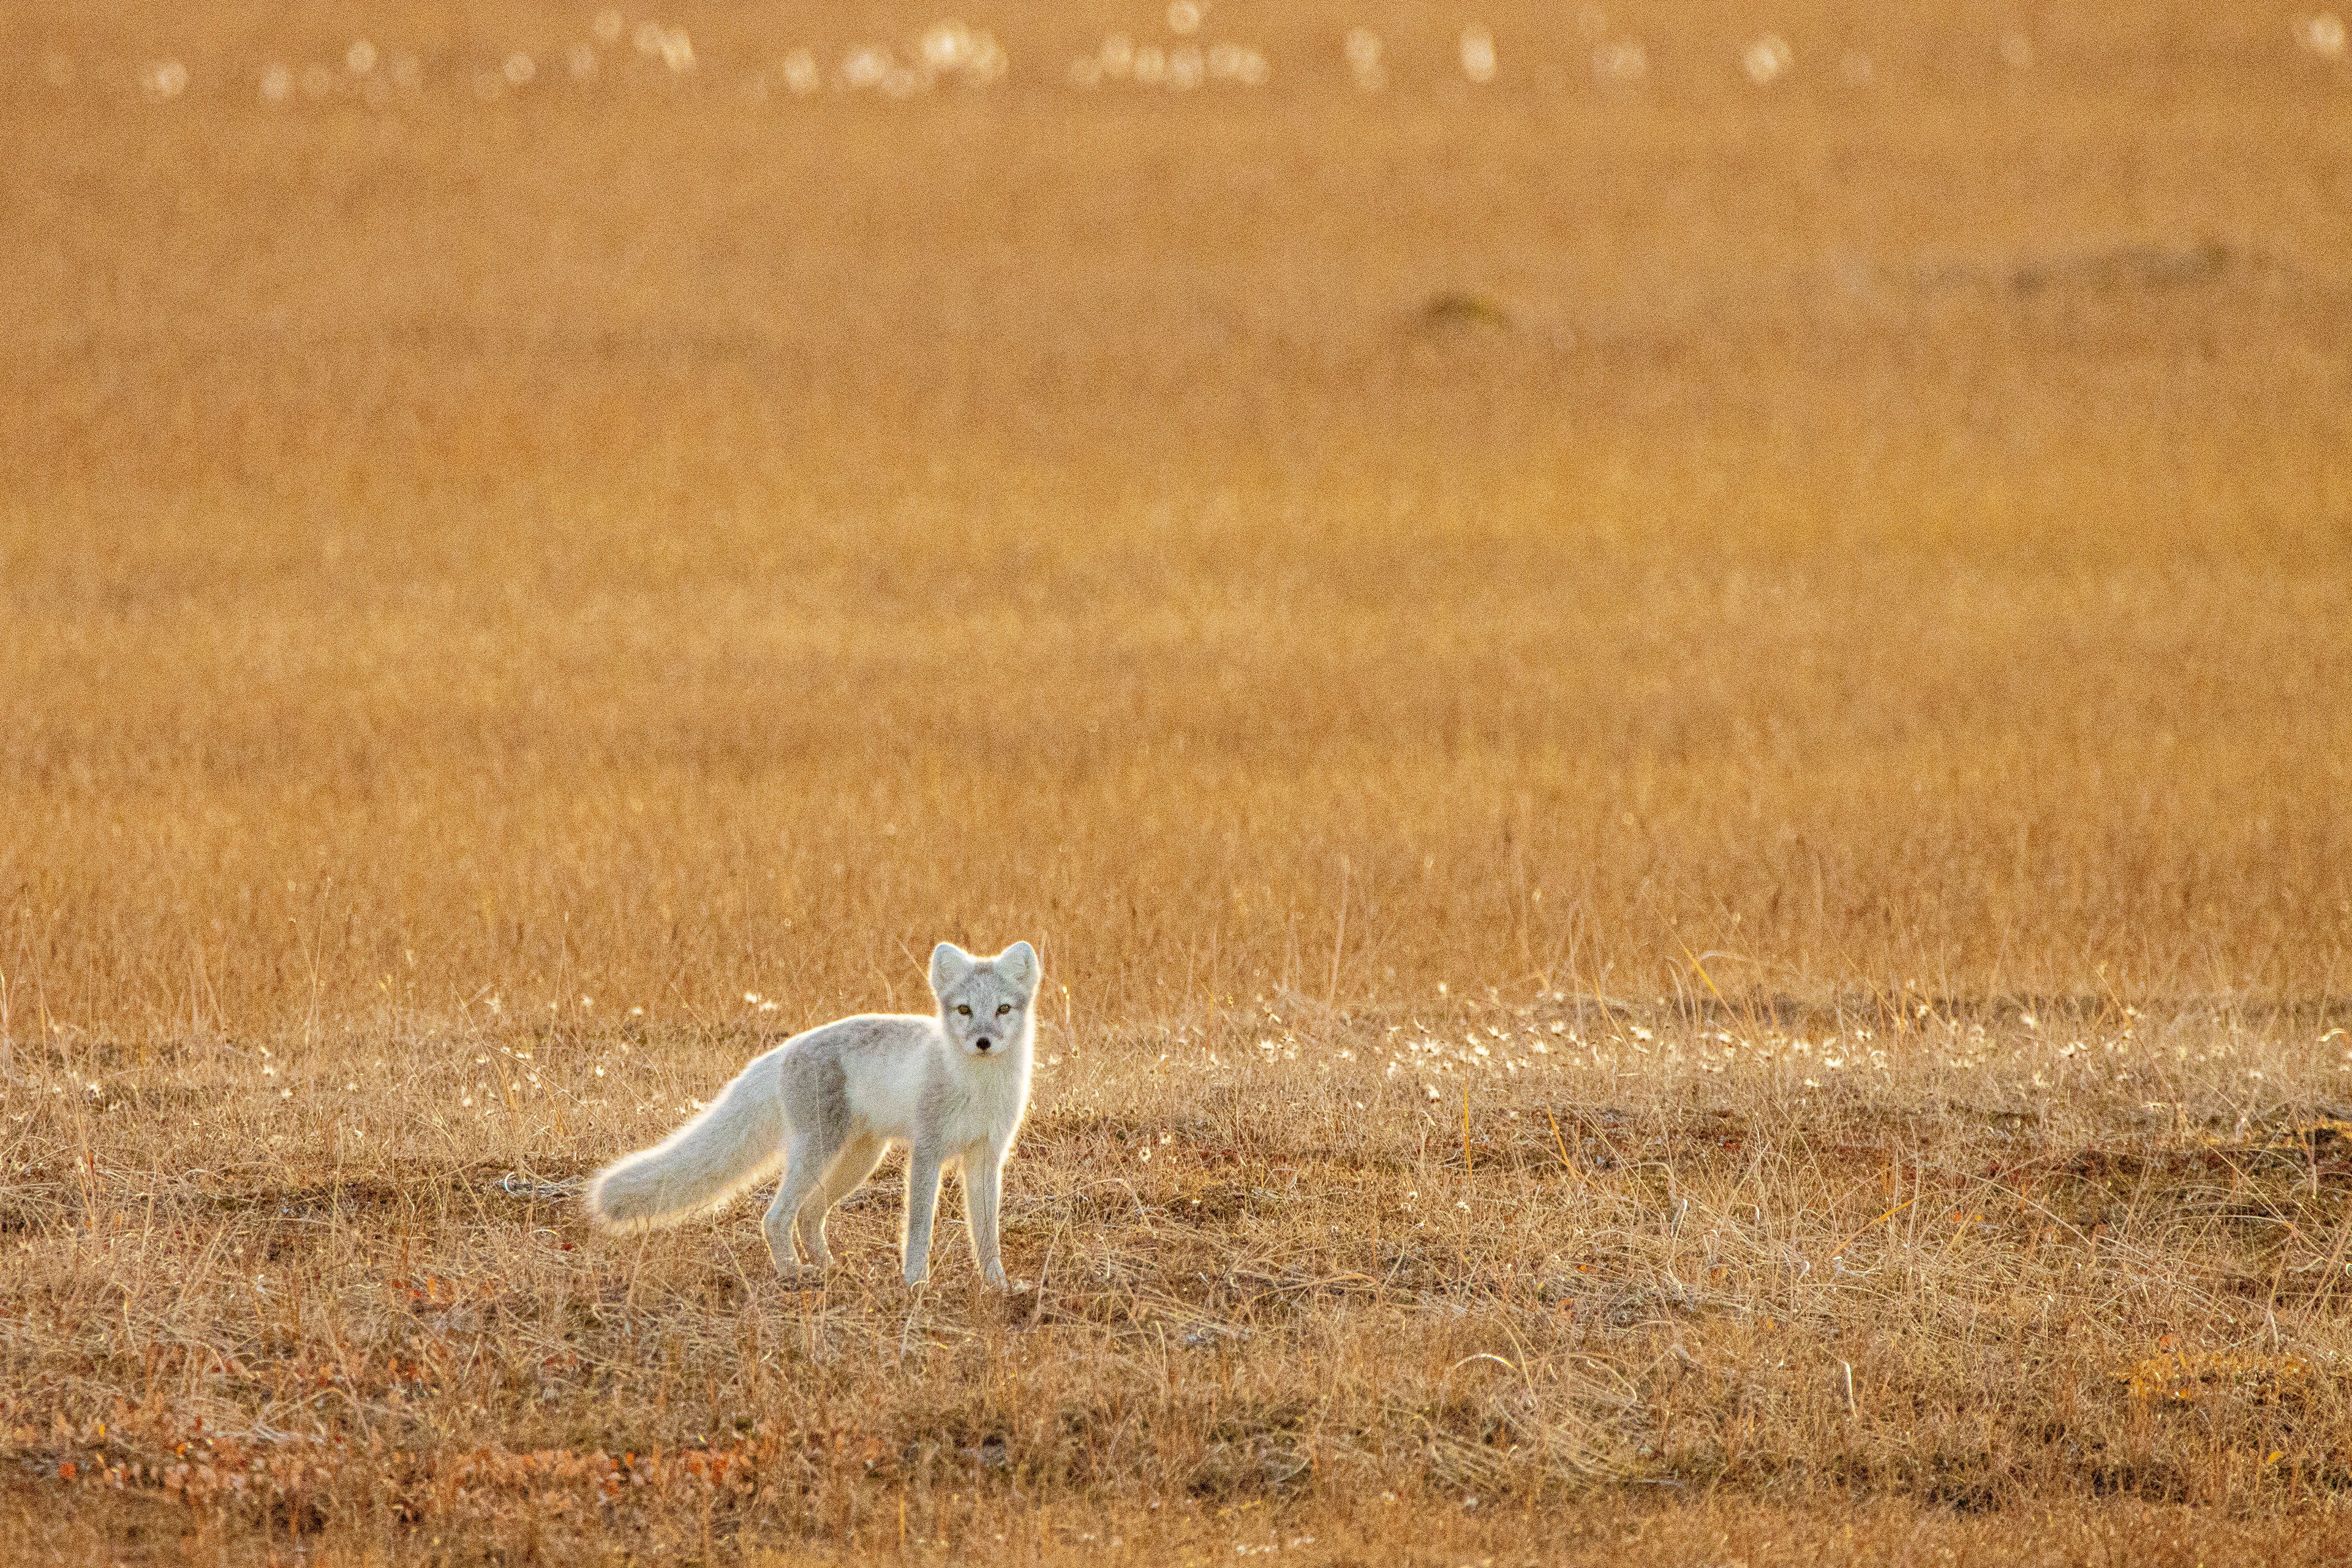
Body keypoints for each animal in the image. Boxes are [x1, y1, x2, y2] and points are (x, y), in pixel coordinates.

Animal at [584, 940, 1040, 1288]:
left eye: (1003, 1010)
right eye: (964, 1010)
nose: (983, 1042)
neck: (979, 1088)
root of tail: (785, 1049)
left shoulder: (986, 1158)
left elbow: (987, 1234)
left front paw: (998, 1284)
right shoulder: (928, 1153)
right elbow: (918, 1228)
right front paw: (915, 1282)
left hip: (858, 1160)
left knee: (807, 1215)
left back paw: (831, 1268)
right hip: (820, 1151)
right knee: (776, 1217)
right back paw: (793, 1272)